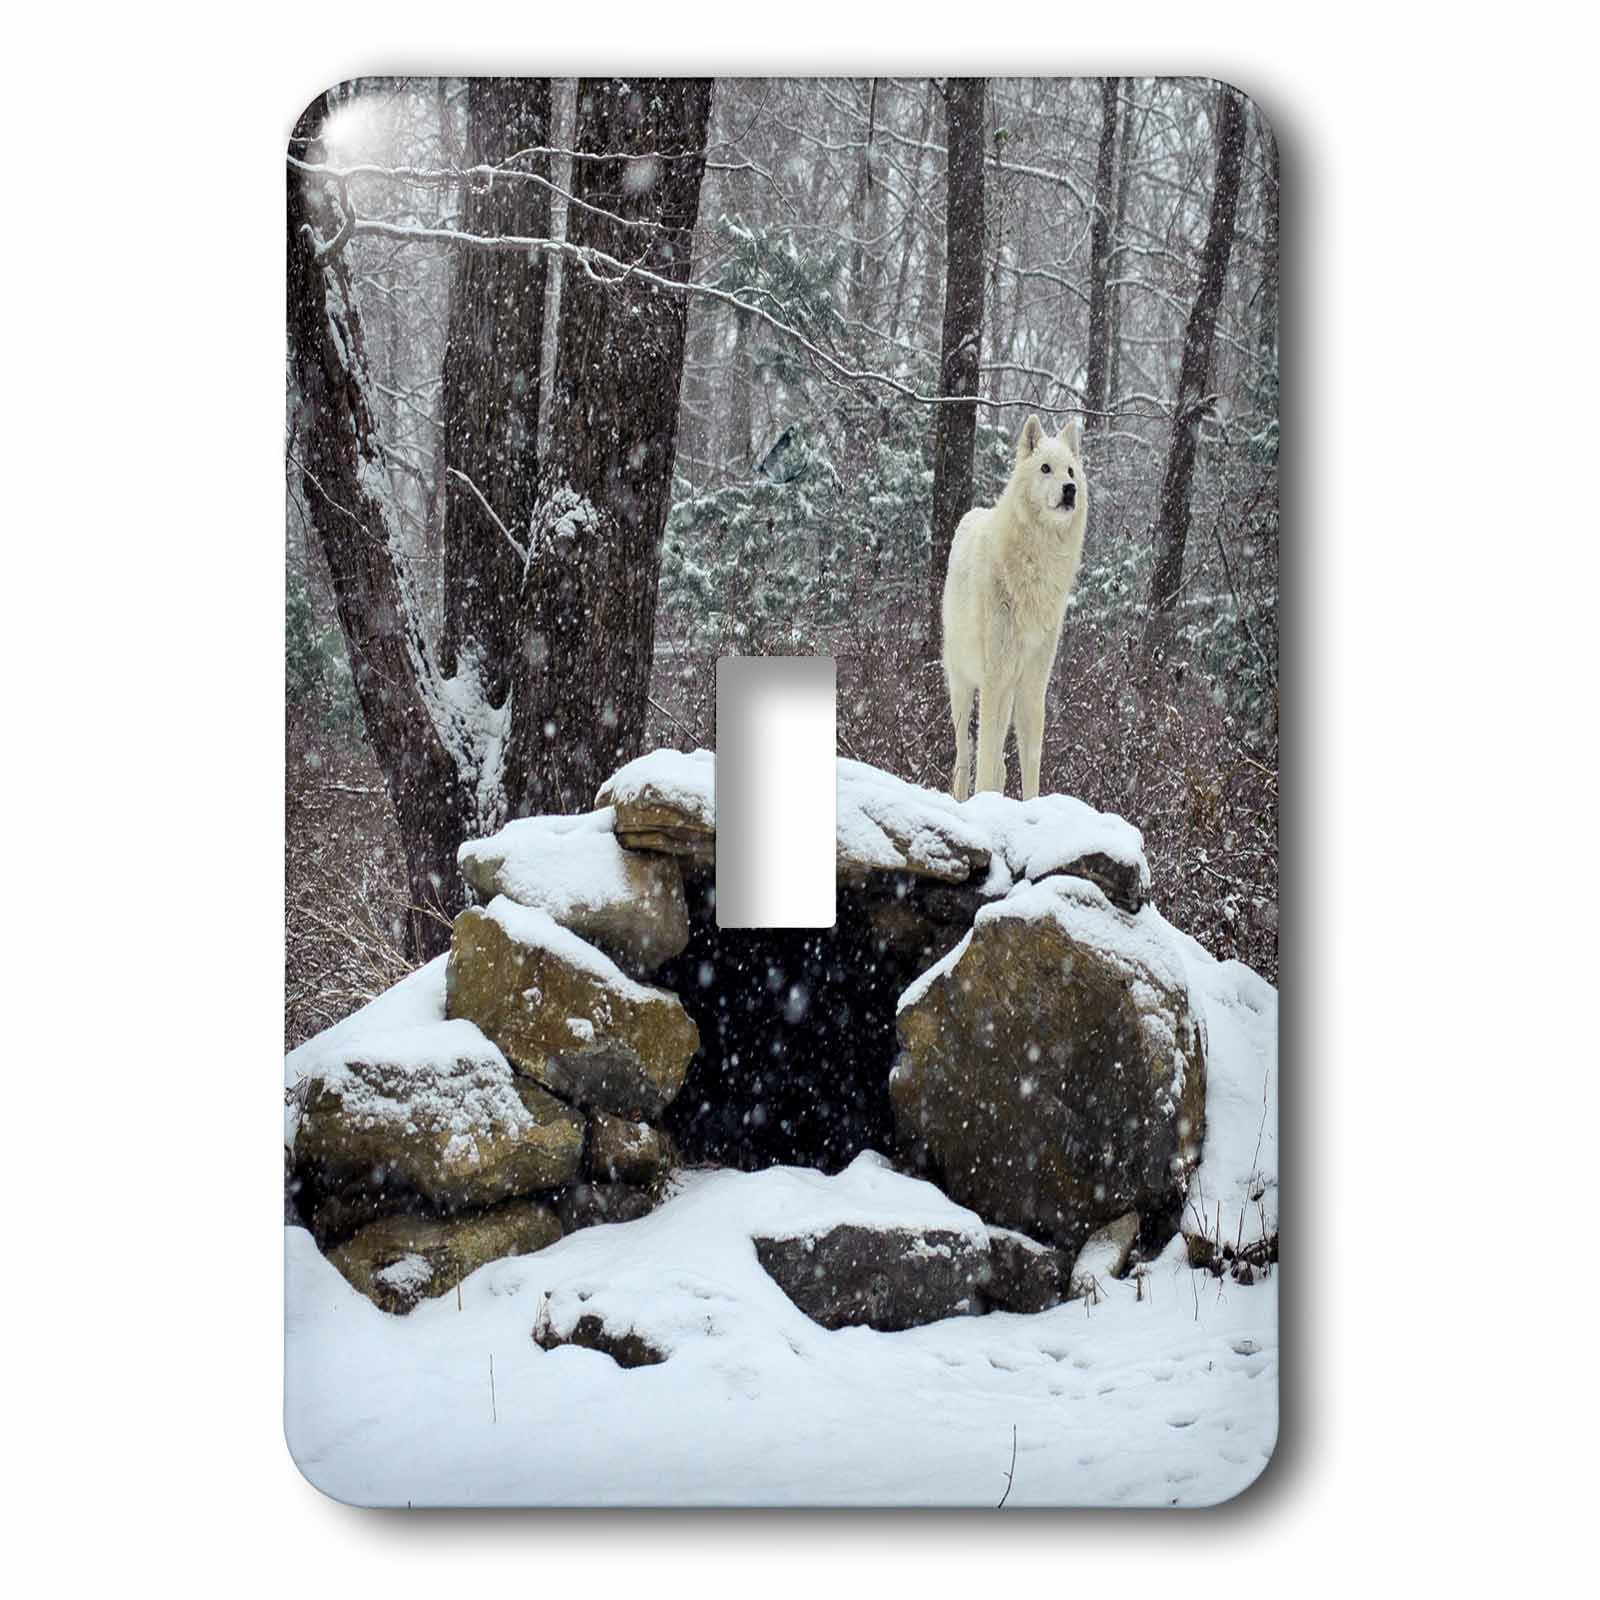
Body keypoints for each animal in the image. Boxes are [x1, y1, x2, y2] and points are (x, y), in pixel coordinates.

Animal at [942, 414, 1088, 801]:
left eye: (1070, 471)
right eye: (1046, 468)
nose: (1071, 489)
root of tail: (971, 514)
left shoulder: (1032, 685)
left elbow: (1030, 760)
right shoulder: (995, 678)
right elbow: (986, 757)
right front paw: (985, 803)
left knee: (1000, 763)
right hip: (963, 685)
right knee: (965, 754)